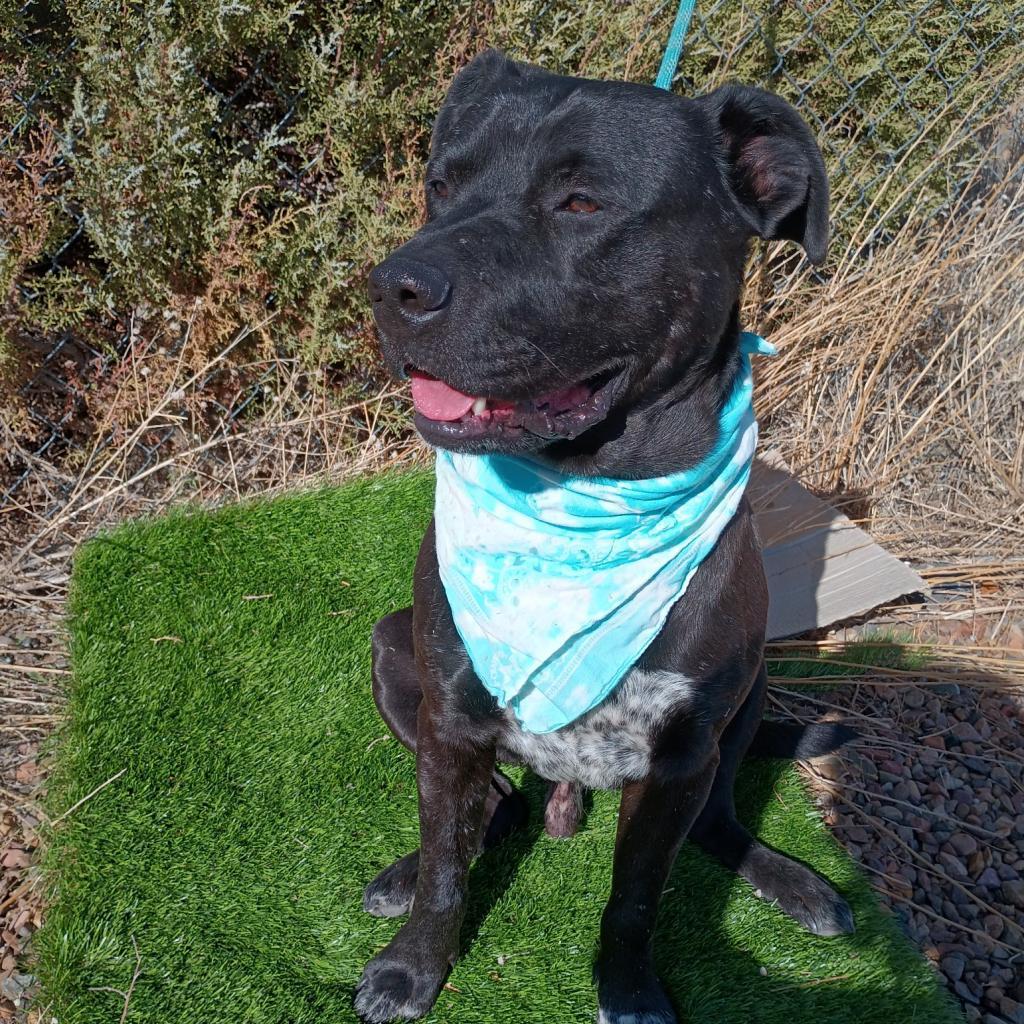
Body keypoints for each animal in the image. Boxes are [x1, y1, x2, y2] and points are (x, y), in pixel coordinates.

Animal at [356, 51, 851, 1024]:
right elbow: (446, 866)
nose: (391, 289)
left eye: (580, 203)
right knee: (492, 807)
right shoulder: (450, 714)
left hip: (748, 700)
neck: (584, 495)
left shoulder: (680, 757)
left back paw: (789, 878)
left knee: (721, 821)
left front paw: (627, 990)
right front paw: (414, 963)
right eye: (442, 185)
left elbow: (636, 895)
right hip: (396, 650)